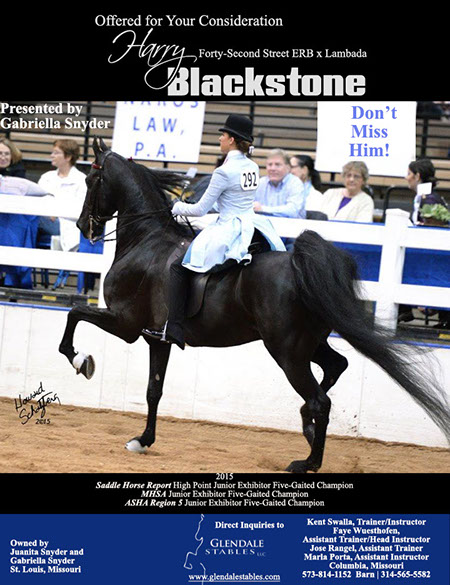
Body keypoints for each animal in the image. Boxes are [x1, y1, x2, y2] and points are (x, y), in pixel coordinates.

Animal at [59, 137, 450, 473]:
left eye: (91, 178)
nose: (82, 226)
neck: (146, 240)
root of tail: (300, 267)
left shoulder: (125, 323)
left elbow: (74, 316)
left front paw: (82, 362)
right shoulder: (157, 338)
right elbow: (154, 390)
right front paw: (143, 440)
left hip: (287, 351)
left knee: (321, 400)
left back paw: (307, 461)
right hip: (308, 344)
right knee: (335, 367)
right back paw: (307, 429)